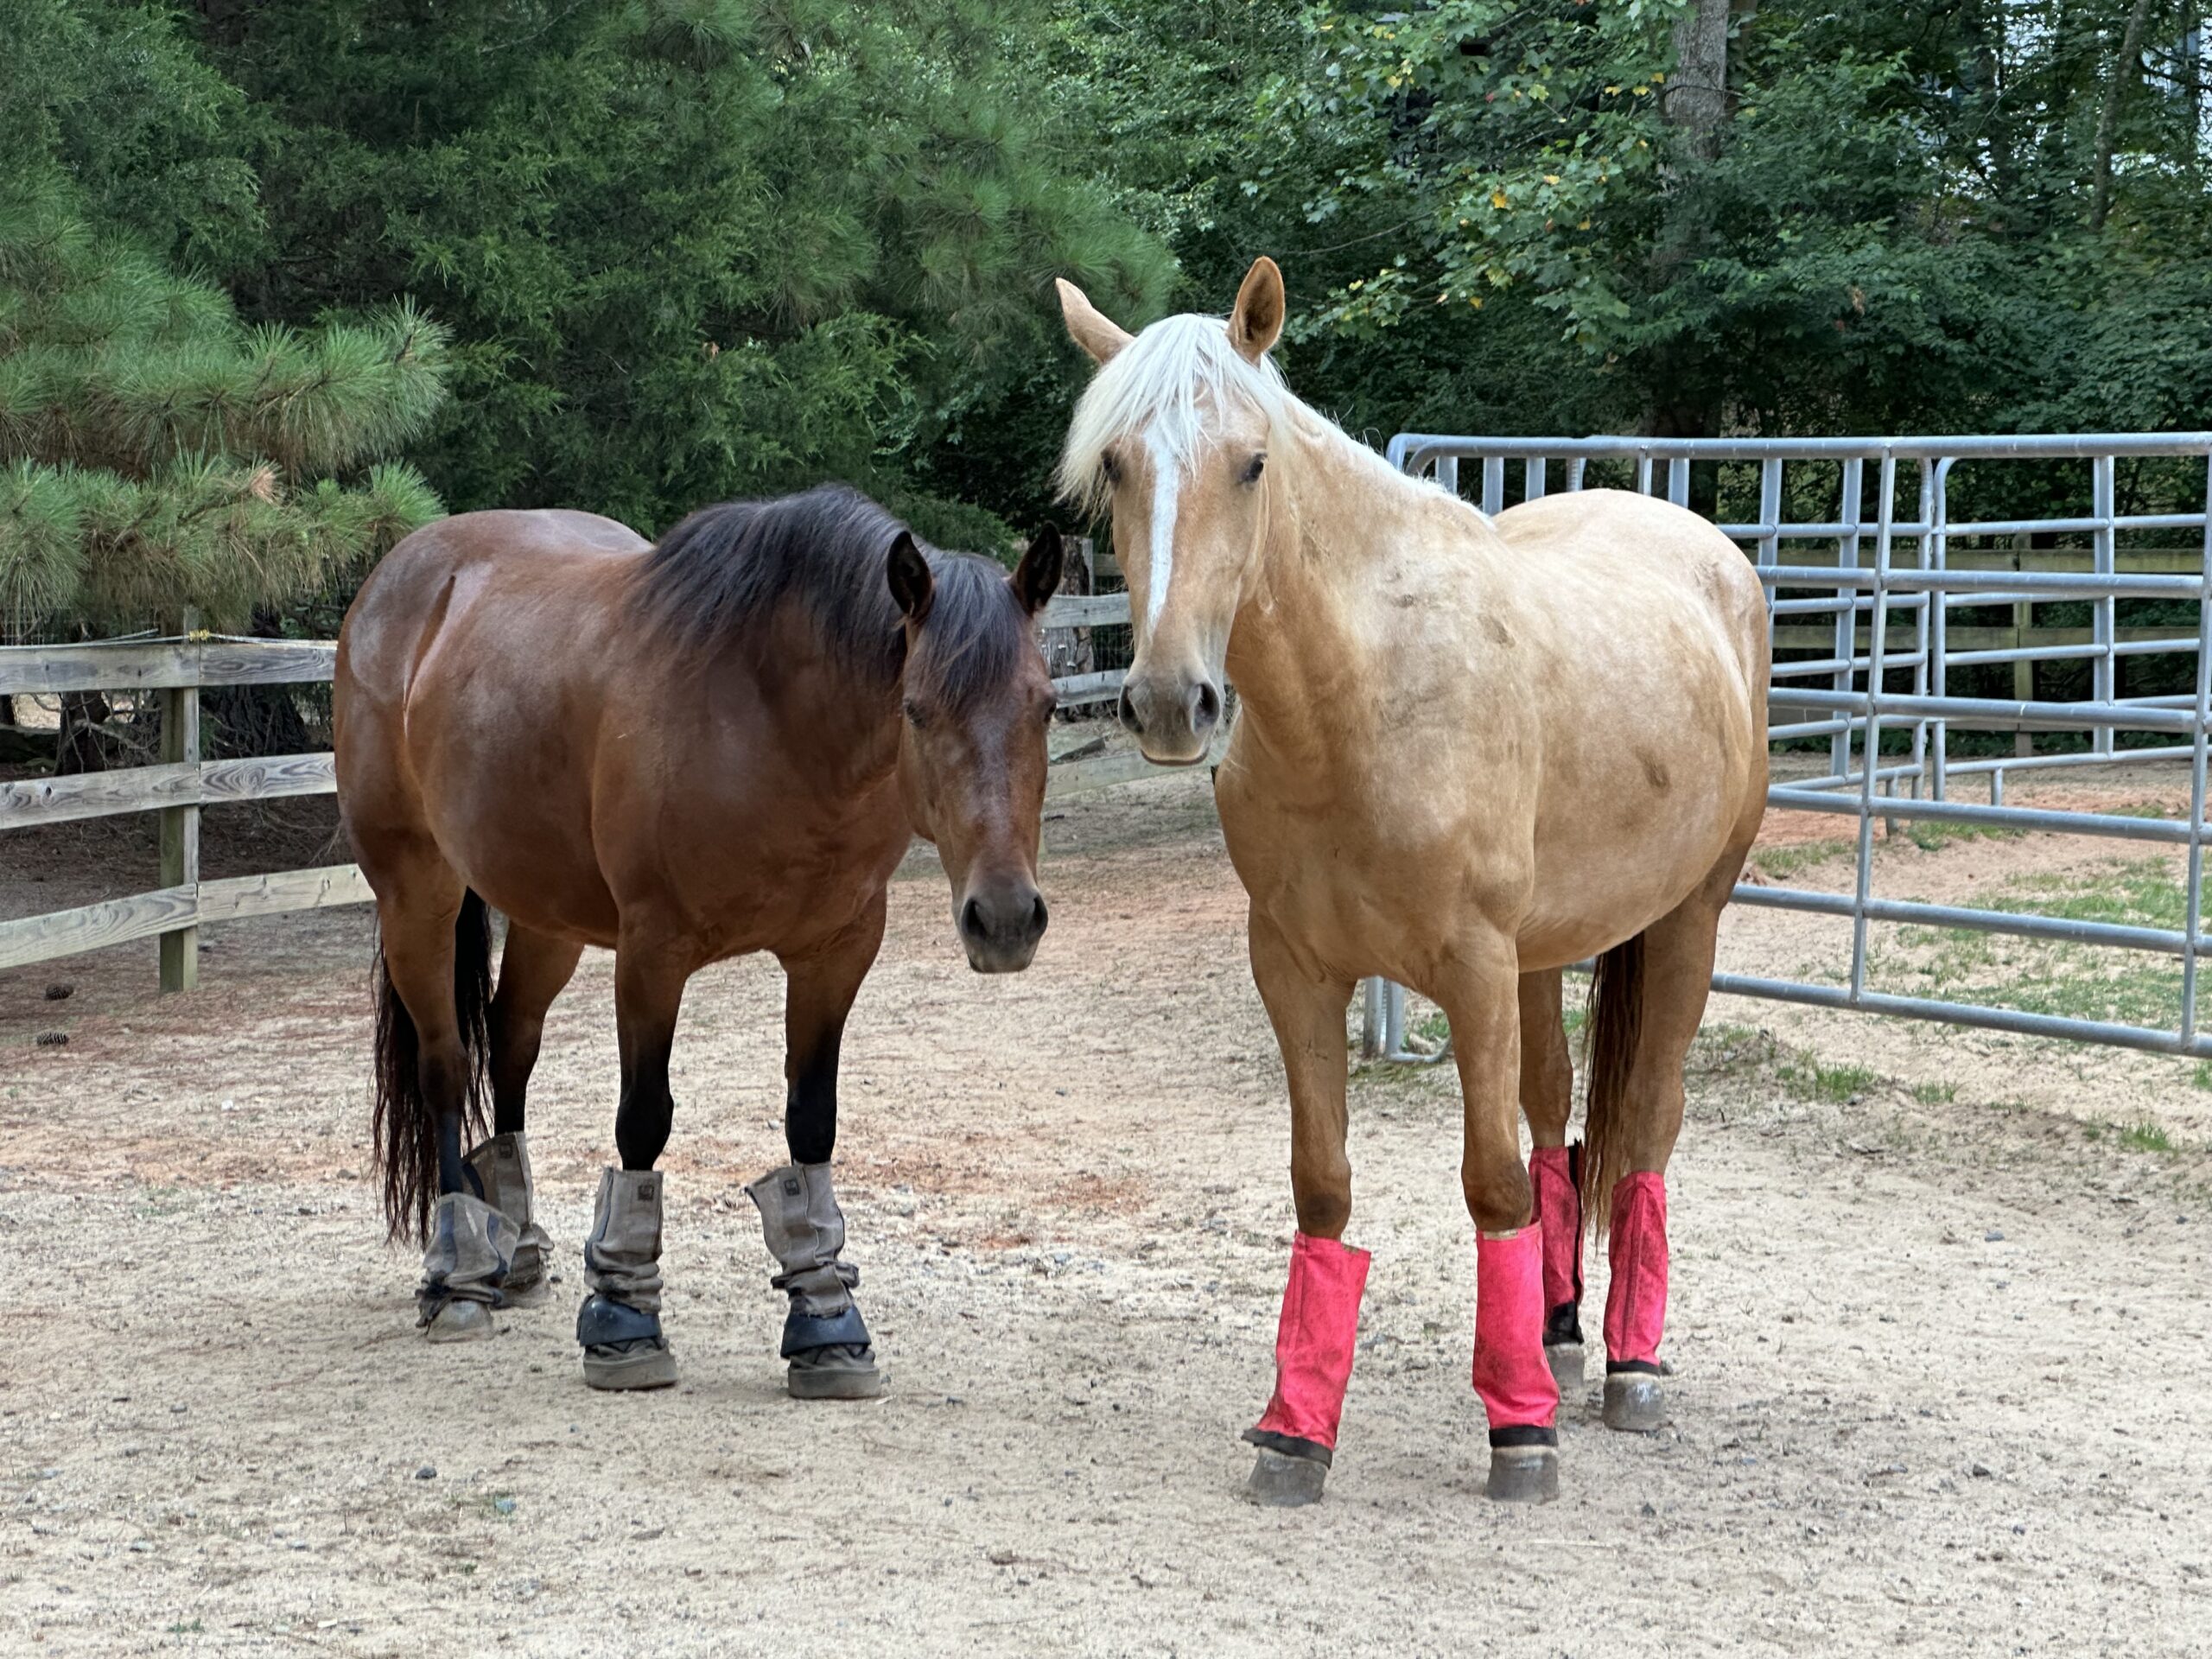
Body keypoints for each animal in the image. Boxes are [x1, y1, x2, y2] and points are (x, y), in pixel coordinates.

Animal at [332, 486, 1065, 1397]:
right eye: (915, 709)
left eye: (1047, 706)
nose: (1004, 918)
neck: (772, 719)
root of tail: (395, 580)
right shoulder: (654, 954)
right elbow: (643, 1123)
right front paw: (624, 1322)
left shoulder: (837, 952)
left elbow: (810, 1126)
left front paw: (827, 1321)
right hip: (416, 893)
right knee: (443, 1064)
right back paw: (460, 1270)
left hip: (547, 915)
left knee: (510, 1046)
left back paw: (519, 1249)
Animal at [1061, 256, 1770, 1503]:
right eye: (1115, 463)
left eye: (1251, 462)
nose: (1168, 703)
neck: (1361, 701)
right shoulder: (1294, 969)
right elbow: (1325, 1185)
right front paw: (1296, 1430)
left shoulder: (1473, 970)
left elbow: (1487, 1183)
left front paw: (1521, 1435)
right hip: (1546, 954)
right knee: (1556, 1120)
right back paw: (1556, 1337)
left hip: (1689, 920)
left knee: (1645, 1123)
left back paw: (1628, 1369)